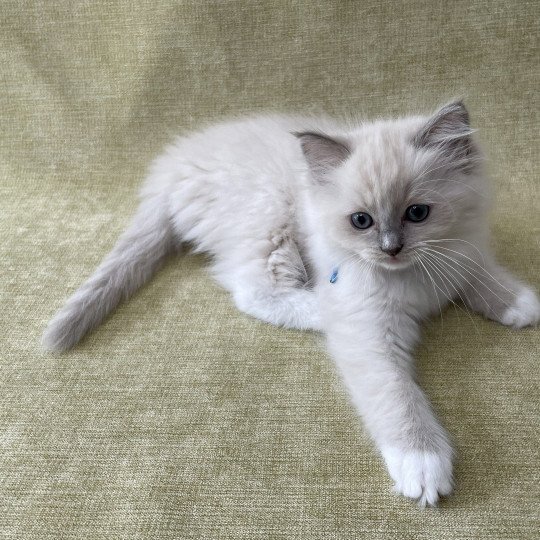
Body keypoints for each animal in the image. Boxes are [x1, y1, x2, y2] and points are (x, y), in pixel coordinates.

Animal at [43, 101, 540, 506]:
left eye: (418, 213)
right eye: (361, 221)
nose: (391, 248)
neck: (411, 278)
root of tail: (171, 167)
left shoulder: (461, 253)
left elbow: (480, 275)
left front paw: (520, 304)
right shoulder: (368, 330)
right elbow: (397, 397)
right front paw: (422, 463)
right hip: (270, 219)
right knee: (251, 290)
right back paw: (319, 310)